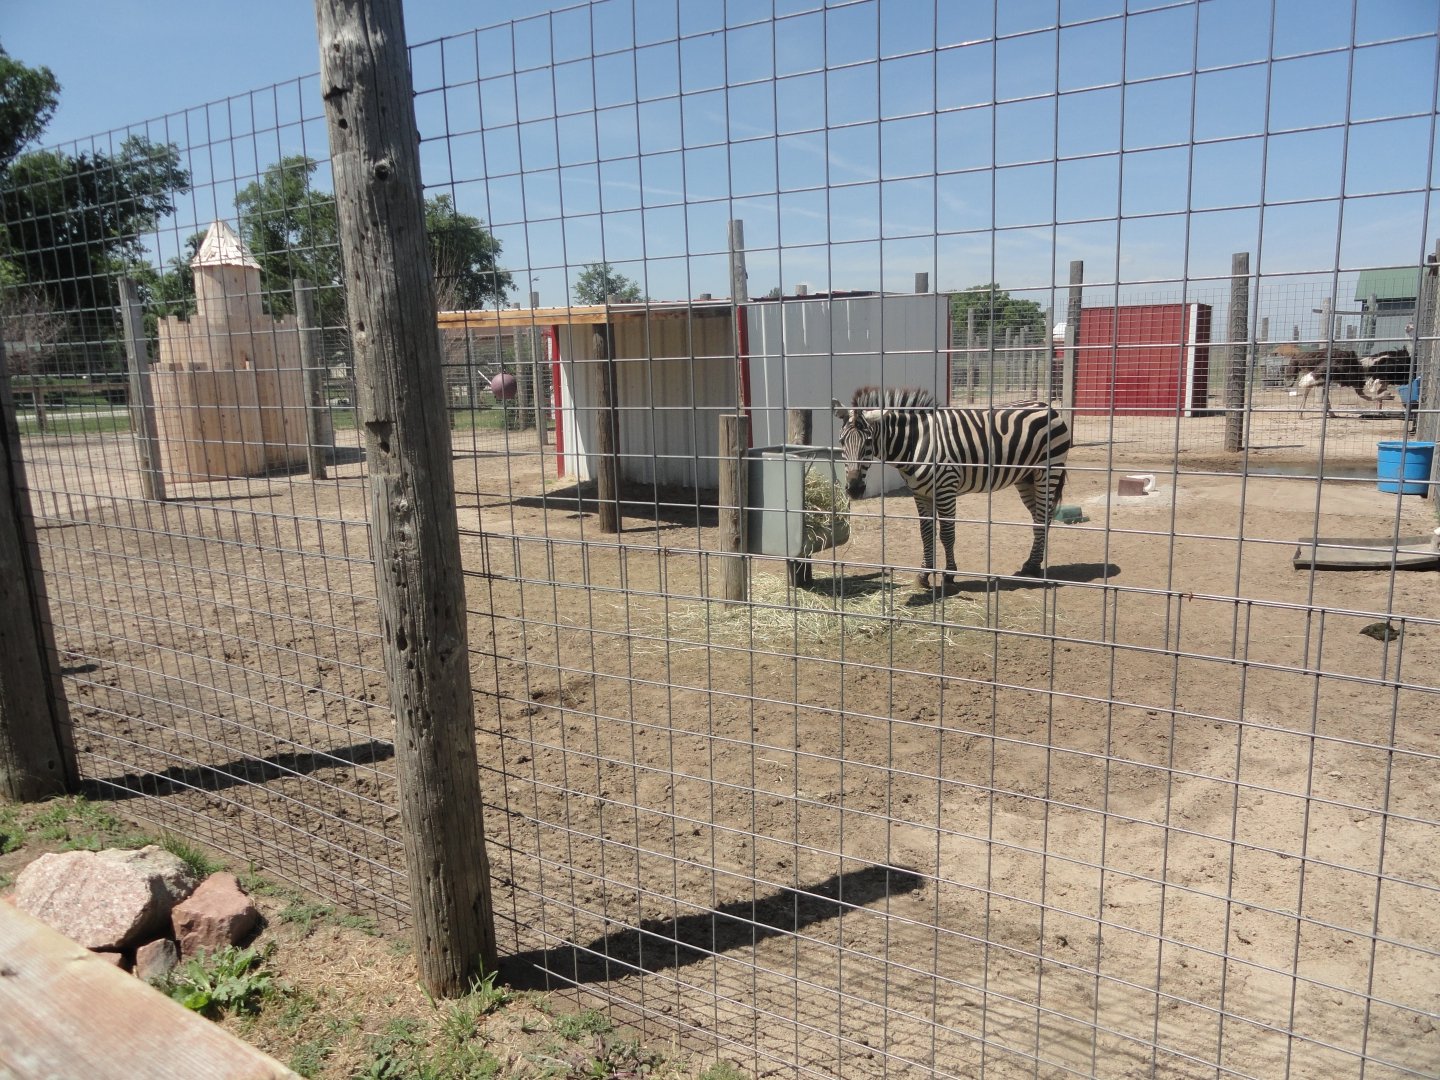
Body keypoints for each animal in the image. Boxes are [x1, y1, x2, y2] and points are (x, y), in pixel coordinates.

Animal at [831, 386, 1071, 586]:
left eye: (868, 442)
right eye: (841, 442)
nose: (854, 489)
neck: (915, 443)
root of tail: (1045, 405)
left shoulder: (946, 488)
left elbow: (947, 533)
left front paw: (949, 574)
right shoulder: (920, 493)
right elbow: (926, 533)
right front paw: (924, 575)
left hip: (1048, 471)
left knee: (1042, 517)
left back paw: (1033, 568)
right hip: (1026, 478)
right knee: (1041, 517)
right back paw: (1033, 563)